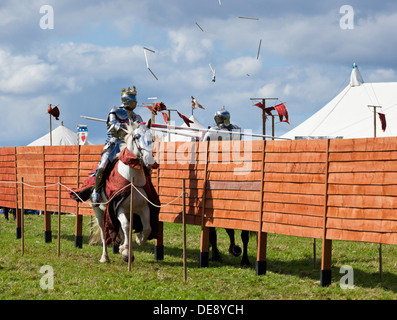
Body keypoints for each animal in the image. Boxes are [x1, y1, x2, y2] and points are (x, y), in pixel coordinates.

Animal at [92, 120, 155, 262]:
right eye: (136, 137)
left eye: (151, 138)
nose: (149, 160)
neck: (132, 179)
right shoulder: (118, 207)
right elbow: (126, 226)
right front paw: (125, 248)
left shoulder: (143, 208)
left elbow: (147, 228)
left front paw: (138, 239)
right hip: (99, 212)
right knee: (104, 232)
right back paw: (105, 256)